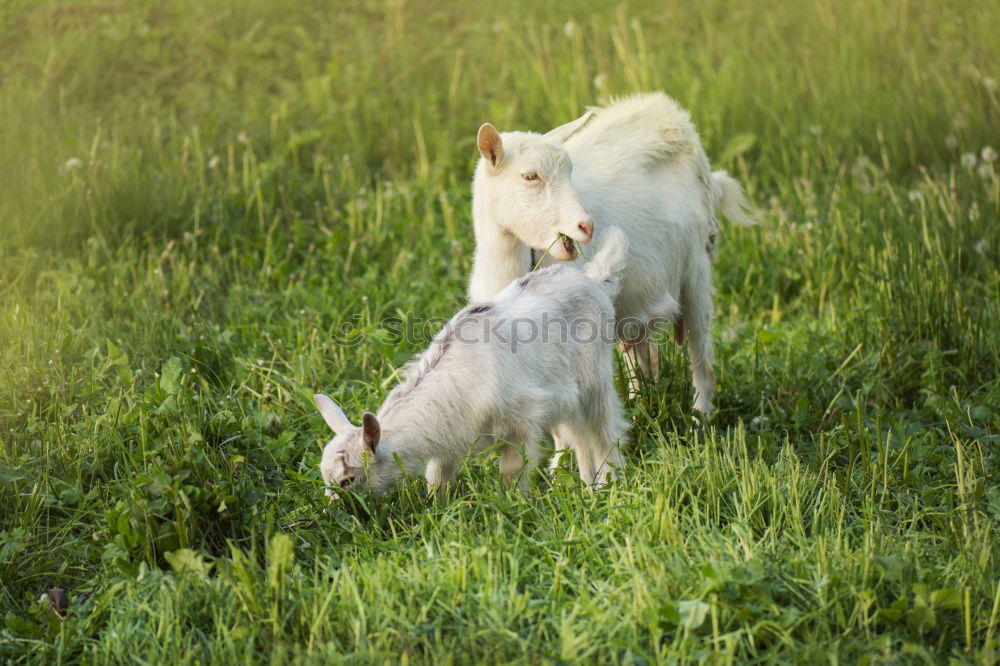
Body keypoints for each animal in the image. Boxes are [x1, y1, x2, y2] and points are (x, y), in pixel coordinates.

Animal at [464, 91, 752, 412]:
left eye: (570, 171)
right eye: (529, 176)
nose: (586, 226)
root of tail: (671, 115)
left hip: (697, 265)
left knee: (700, 349)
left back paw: (701, 414)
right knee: (641, 353)